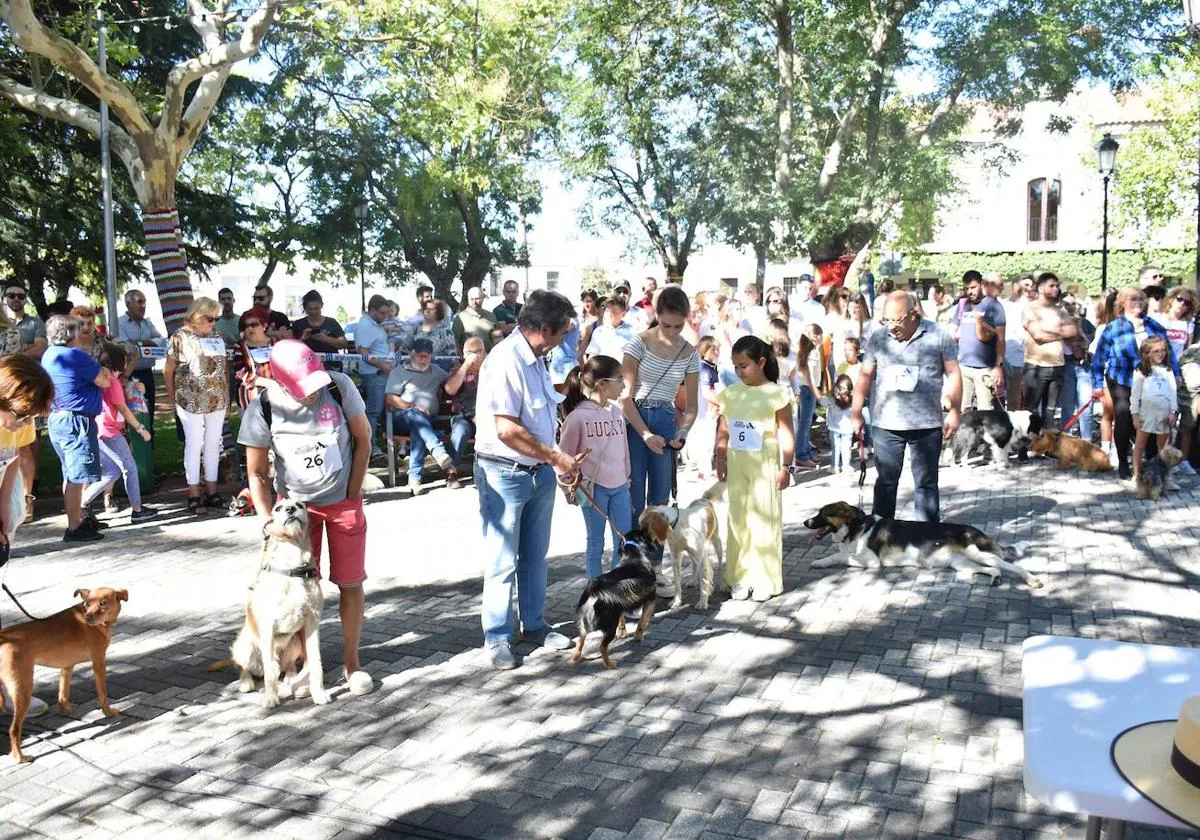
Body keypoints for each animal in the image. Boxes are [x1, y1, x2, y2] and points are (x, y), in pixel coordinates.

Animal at [0, 588, 127, 763]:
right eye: (87, 604)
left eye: (103, 603)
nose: (87, 618)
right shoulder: (99, 663)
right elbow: (103, 694)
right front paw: (108, 712)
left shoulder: (67, 667)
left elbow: (63, 694)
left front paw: (66, 710)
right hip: (22, 689)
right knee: (14, 729)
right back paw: (20, 756)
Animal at [801, 501, 1046, 588]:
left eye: (822, 514)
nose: (805, 522)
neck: (856, 526)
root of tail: (979, 531)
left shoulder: (872, 562)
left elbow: (842, 556)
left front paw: (820, 561)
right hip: (962, 564)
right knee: (995, 569)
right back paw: (995, 579)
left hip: (978, 553)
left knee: (1012, 565)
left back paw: (1032, 580)